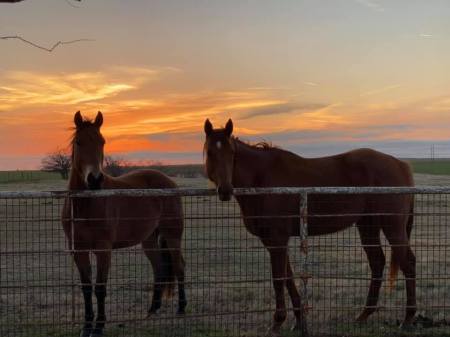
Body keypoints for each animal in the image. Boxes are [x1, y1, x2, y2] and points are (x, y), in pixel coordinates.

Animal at [61, 112, 186, 336]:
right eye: (78, 142)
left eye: (102, 141)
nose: (95, 180)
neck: (84, 205)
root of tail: (169, 181)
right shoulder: (78, 250)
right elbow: (86, 288)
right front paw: (86, 328)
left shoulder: (103, 250)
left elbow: (100, 288)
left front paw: (99, 328)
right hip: (149, 239)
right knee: (159, 268)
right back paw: (152, 309)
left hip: (172, 235)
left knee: (179, 266)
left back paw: (181, 308)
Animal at [202, 118, 416, 336]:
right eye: (210, 152)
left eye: (232, 153)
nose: (225, 190)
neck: (262, 178)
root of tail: (400, 164)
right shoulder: (274, 242)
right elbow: (288, 277)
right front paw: (298, 320)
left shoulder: (277, 240)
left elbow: (278, 279)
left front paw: (277, 323)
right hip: (368, 225)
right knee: (377, 262)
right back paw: (363, 315)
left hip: (392, 226)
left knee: (408, 263)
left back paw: (407, 318)